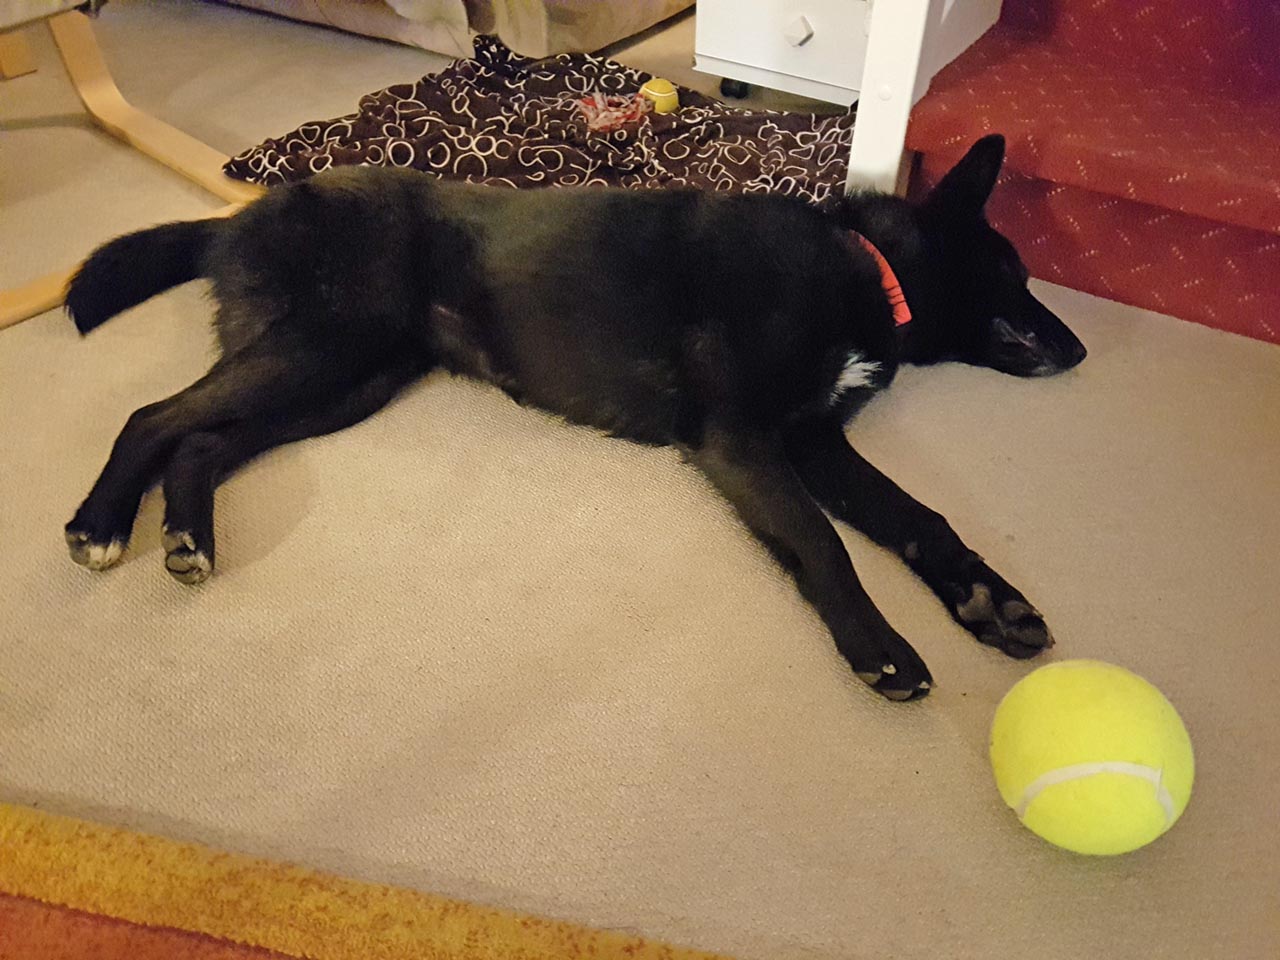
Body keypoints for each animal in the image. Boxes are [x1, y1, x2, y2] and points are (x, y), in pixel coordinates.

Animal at [63, 134, 1086, 701]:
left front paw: (991, 600)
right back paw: (101, 525)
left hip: (350, 381)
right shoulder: (747, 441)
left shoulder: (813, 442)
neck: (861, 266)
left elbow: (919, 517)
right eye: (1014, 272)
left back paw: (187, 537)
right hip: (323, 349)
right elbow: (824, 544)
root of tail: (243, 212)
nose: (1081, 351)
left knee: (200, 439)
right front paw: (879, 647)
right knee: (151, 416)